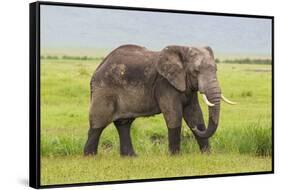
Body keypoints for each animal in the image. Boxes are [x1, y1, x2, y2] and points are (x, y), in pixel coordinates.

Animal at [83, 44, 234, 156]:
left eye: (216, 70)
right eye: (196, 71)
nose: (195, 129)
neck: (183, 49)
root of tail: (98, 68)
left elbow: (194, 113)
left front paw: (207, 154)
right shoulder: (164, 84)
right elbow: (174, 115)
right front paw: (175, 156)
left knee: (124, 124)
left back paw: (131, 157)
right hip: (104, 90)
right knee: (98, 123)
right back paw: (90, 156)